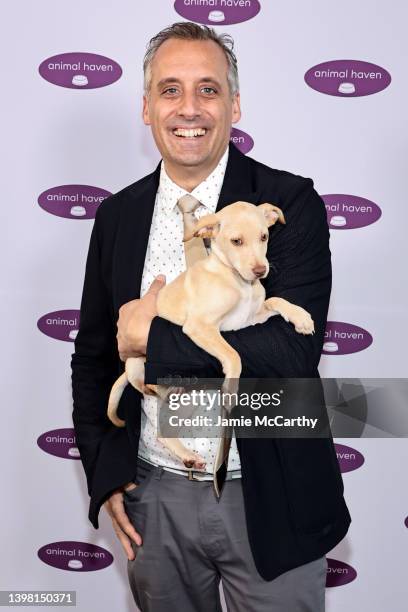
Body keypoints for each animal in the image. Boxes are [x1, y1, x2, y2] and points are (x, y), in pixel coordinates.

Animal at [107, 201, 314, 468]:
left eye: (264, 237)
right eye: (236, 241)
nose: (260, 270)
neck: (237, 281)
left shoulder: (249, 319)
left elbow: (276, 300)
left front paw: (301, 317)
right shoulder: (200, 326)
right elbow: (234, 355)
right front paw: (231, 387)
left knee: (163, 432)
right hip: (138, 367)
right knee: (150, 400)